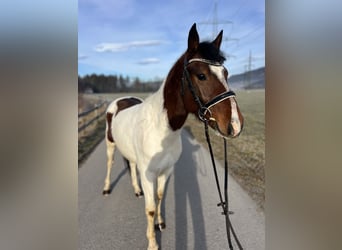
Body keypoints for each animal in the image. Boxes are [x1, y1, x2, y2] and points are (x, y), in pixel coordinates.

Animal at [101, 22, 243, 249]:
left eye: (226, 73)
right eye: (201, 75)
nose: (235, 124)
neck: (162, 129)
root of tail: (120, 101)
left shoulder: (166, 171)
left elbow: (159, 197)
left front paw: (161, 224)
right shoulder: (148, 174)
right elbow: (150, 208)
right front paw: (152, 243)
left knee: (131, 165)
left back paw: (136, 190)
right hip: (110, 144)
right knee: (109, 163)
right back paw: (106, 189)